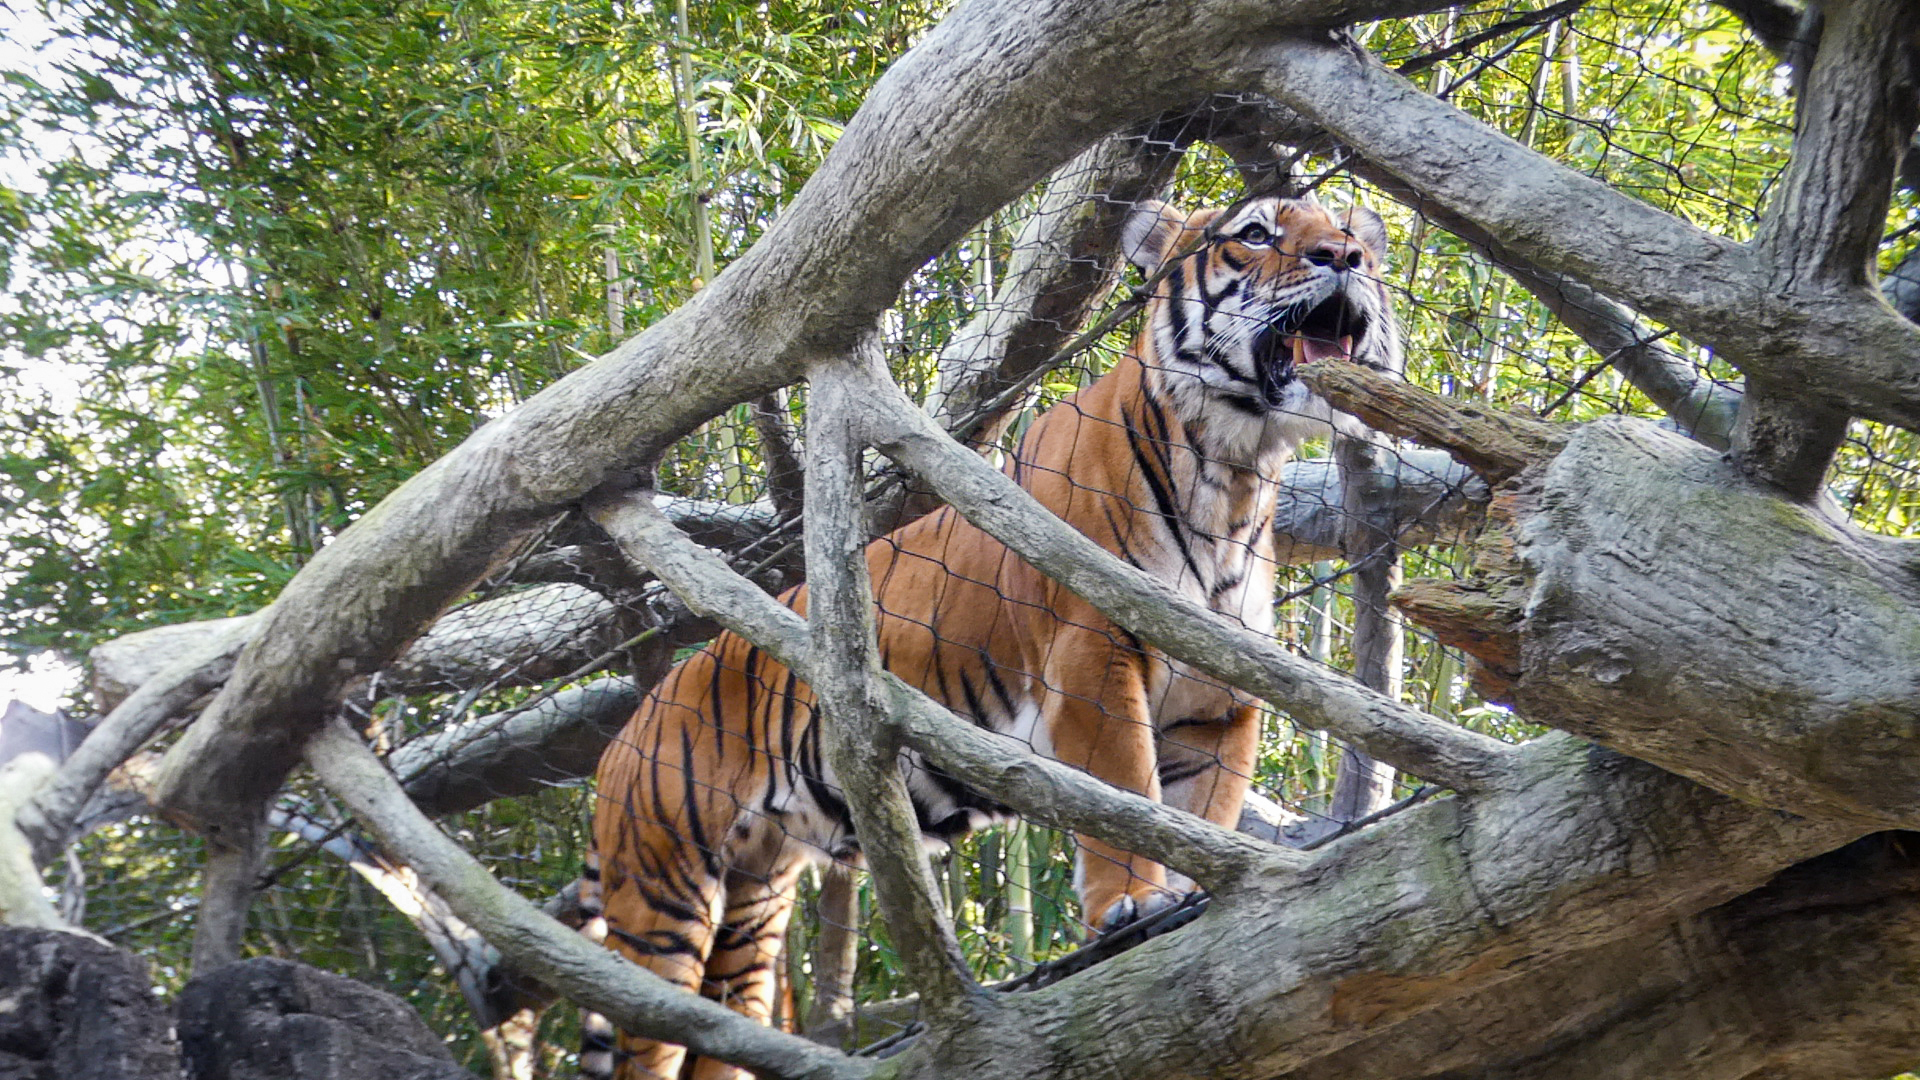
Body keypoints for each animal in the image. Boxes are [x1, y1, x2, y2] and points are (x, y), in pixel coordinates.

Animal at [587, 192, 1402, 1080]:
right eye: (1255, 233)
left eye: (1356, 235)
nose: (1346, 257)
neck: (1234, 473)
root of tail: (625, 730)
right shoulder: (1092, 655)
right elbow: (1126, 788)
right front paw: (1135, 901)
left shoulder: (1217, 699)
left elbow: (1201, 808)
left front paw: (1197, 894)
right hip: (666, 893)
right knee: (648, 1030)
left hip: (753, 903)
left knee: (721, 1029)